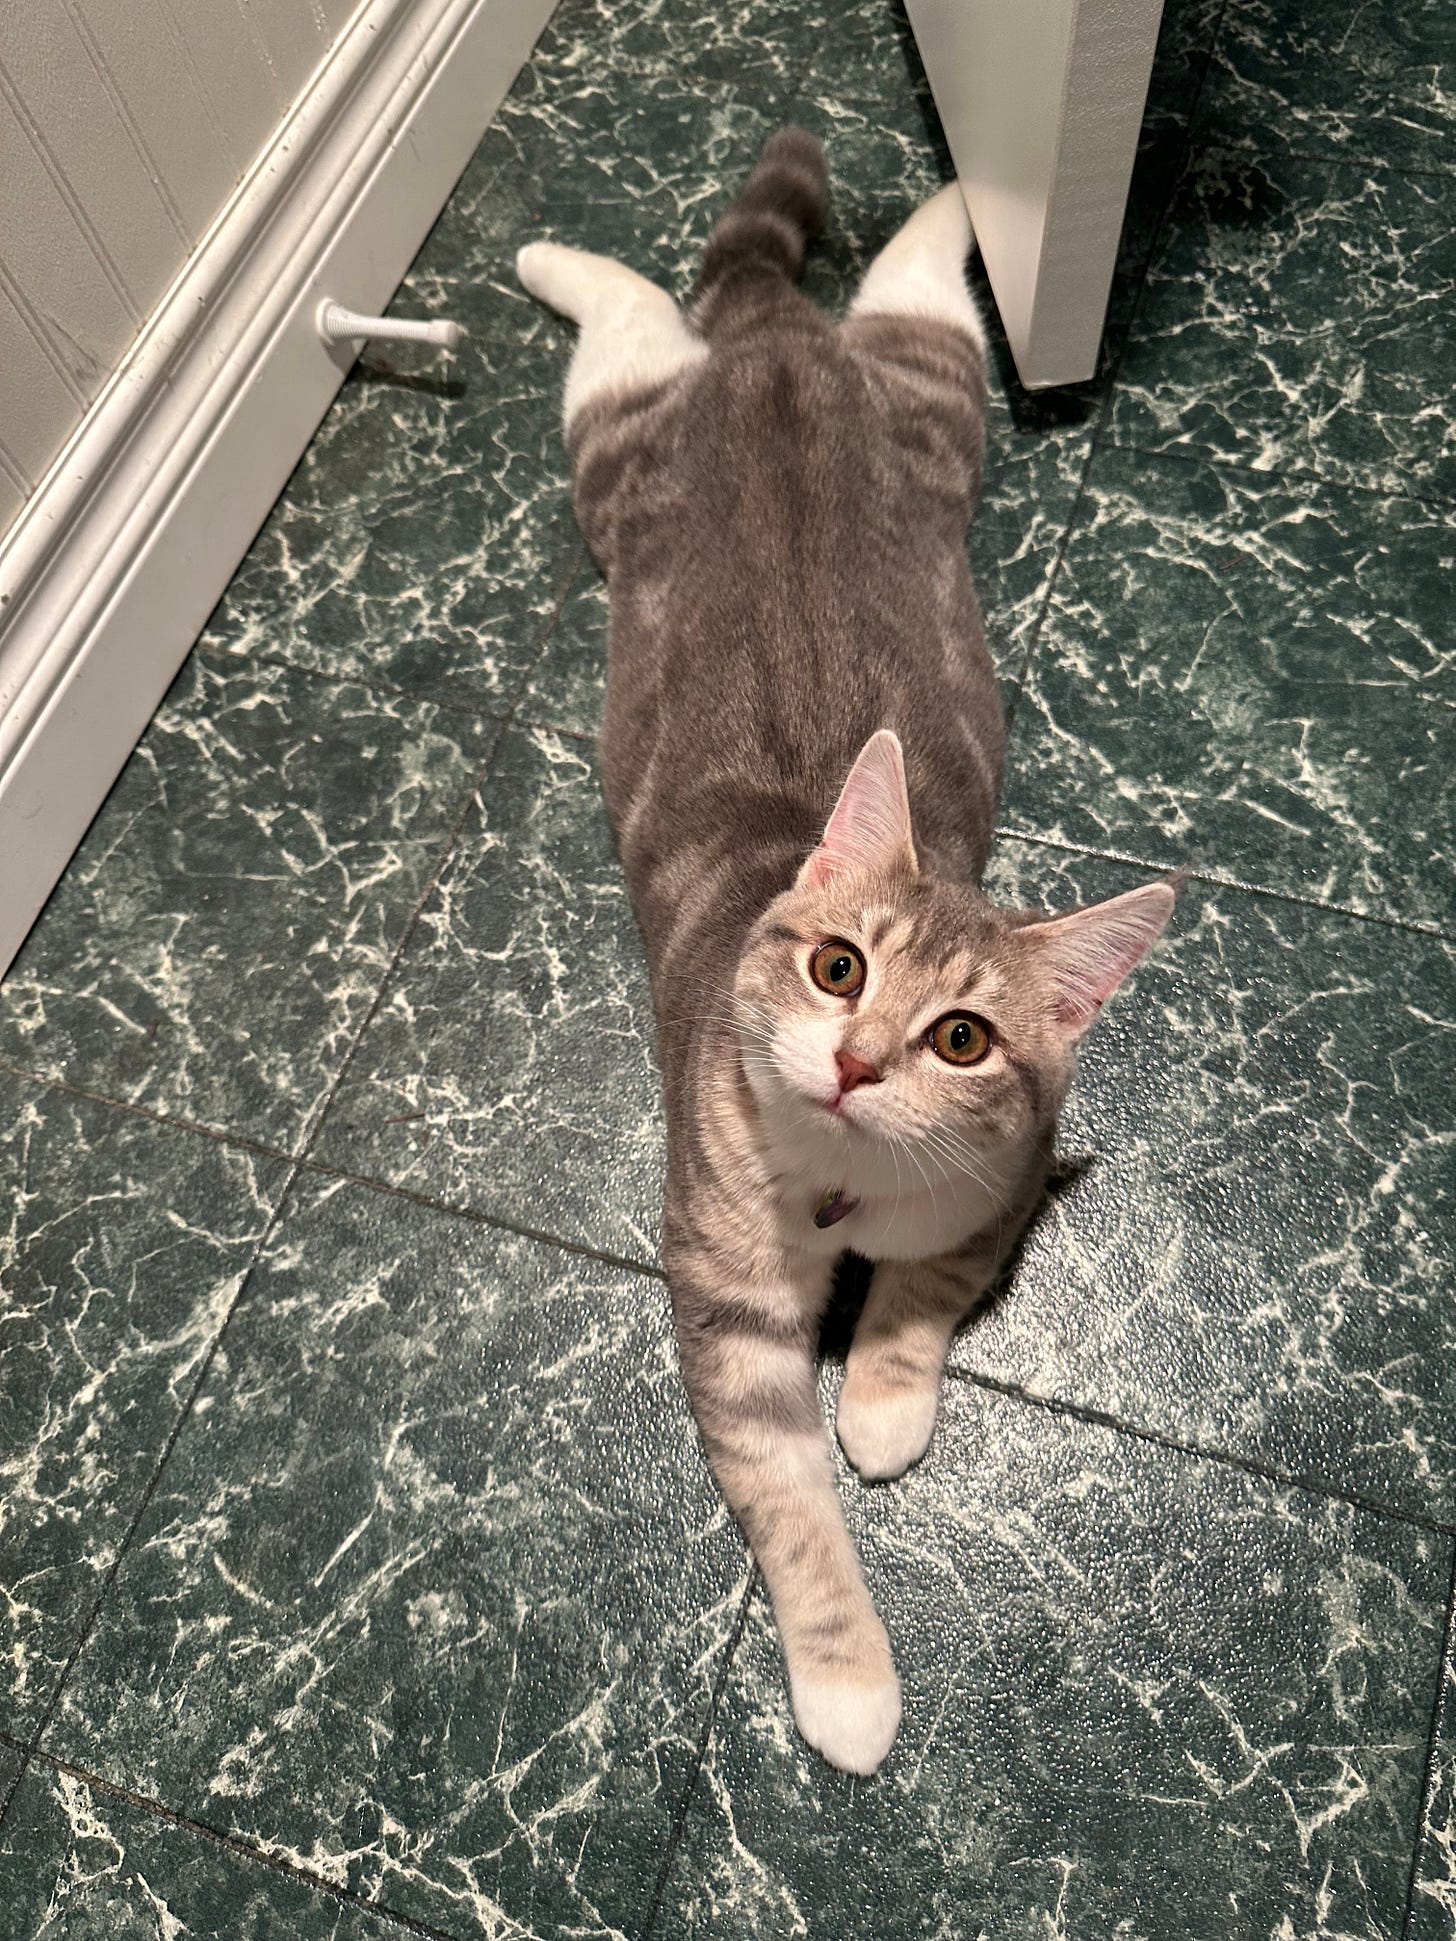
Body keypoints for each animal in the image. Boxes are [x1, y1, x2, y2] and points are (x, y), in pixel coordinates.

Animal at [520, 129, 1180, 1777]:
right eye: (837, 970)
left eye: (962, 1038)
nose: (857, 1061)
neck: (844, 1192)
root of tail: (776, 351)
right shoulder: (725, 1294)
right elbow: (789, 1507)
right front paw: (847, 1683)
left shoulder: (1000, 1182)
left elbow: (926, 1296)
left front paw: (882, 1399)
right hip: (625, 456)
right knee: (637, 316)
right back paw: (563, 260)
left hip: (930, 410)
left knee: (900, 295)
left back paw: (965, 201)